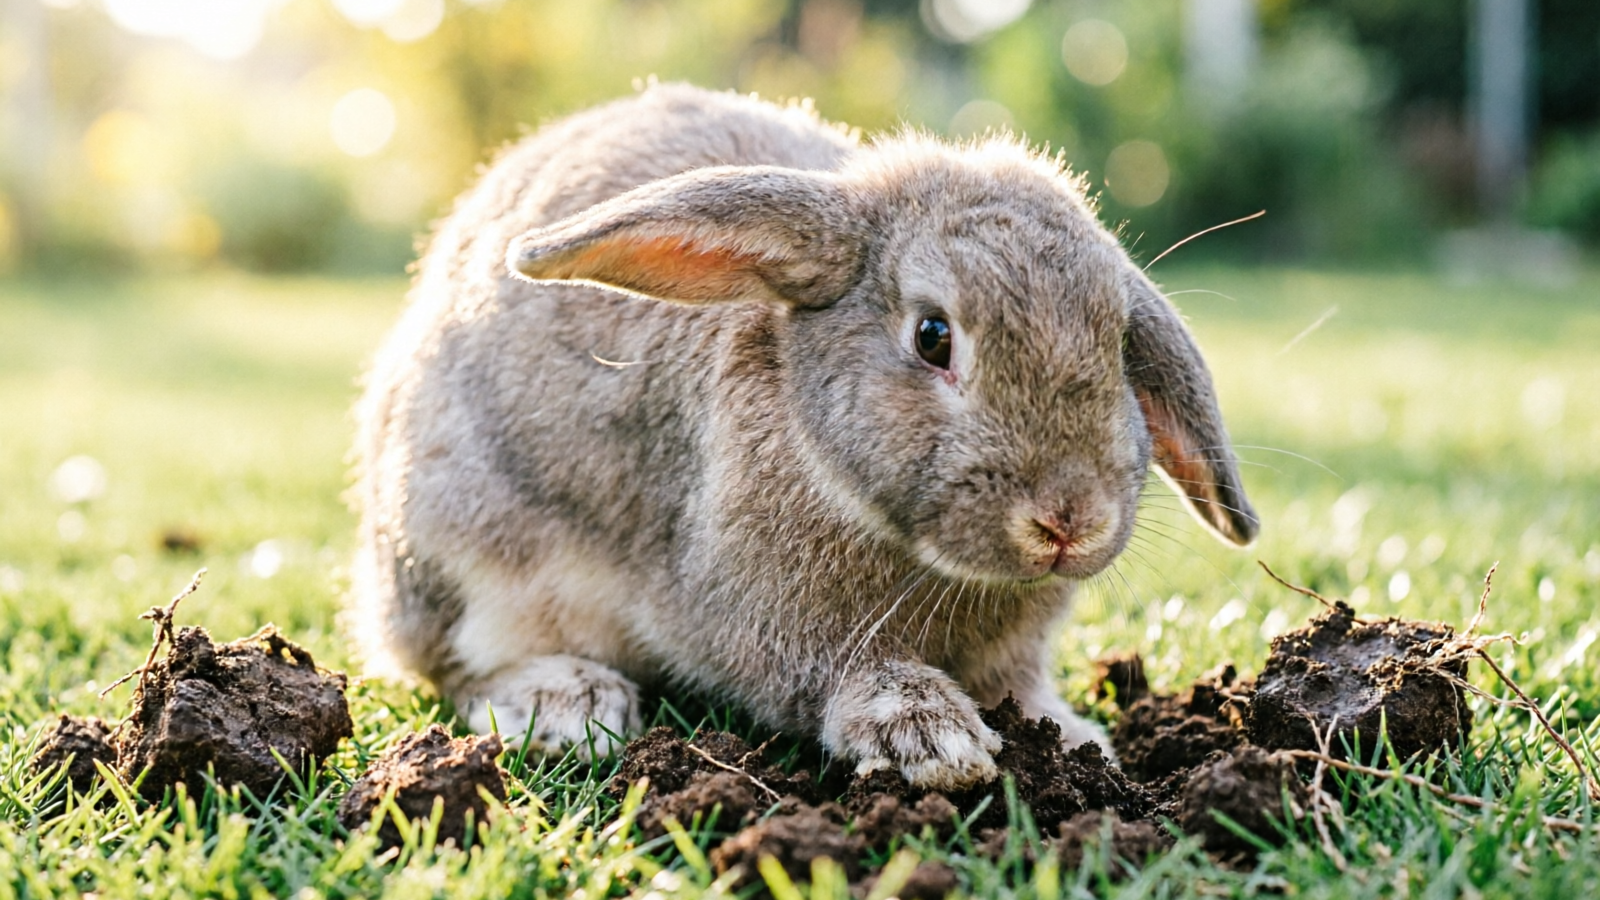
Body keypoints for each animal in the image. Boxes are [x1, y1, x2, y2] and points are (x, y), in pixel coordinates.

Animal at [349, 83, 1257, 790]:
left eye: (1119, 342)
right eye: (934, 336)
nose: (1070, 520)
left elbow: (1024, 688)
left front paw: (1073, 738)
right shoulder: (759, 614)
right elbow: (832, 676)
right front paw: (929, 738)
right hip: (461, 551)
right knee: (460, 664)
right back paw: (567, 701)